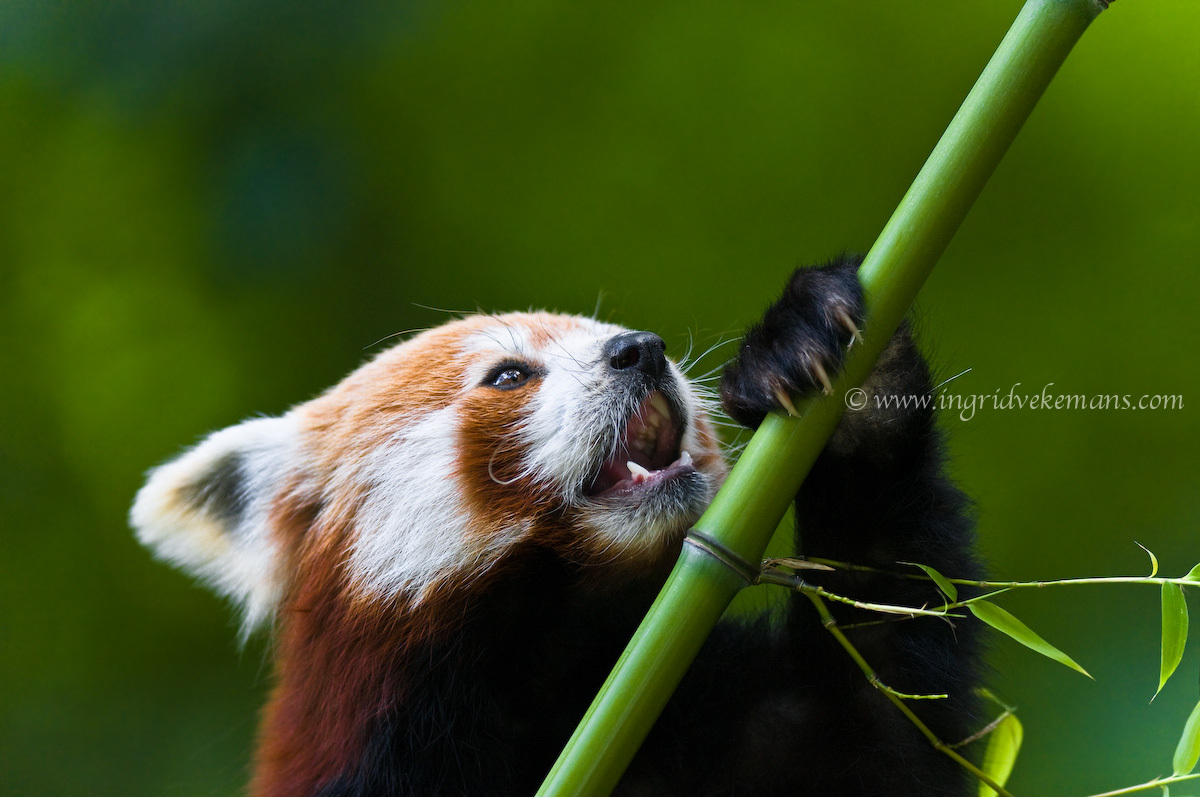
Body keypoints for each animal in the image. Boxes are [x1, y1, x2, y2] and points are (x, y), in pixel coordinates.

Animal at [131, 255, 984, 796]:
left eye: (613, 332)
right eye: (510, 373)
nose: (641, 350)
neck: (546, 669)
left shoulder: (738, 723)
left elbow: (881, 716)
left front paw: (820, 349)